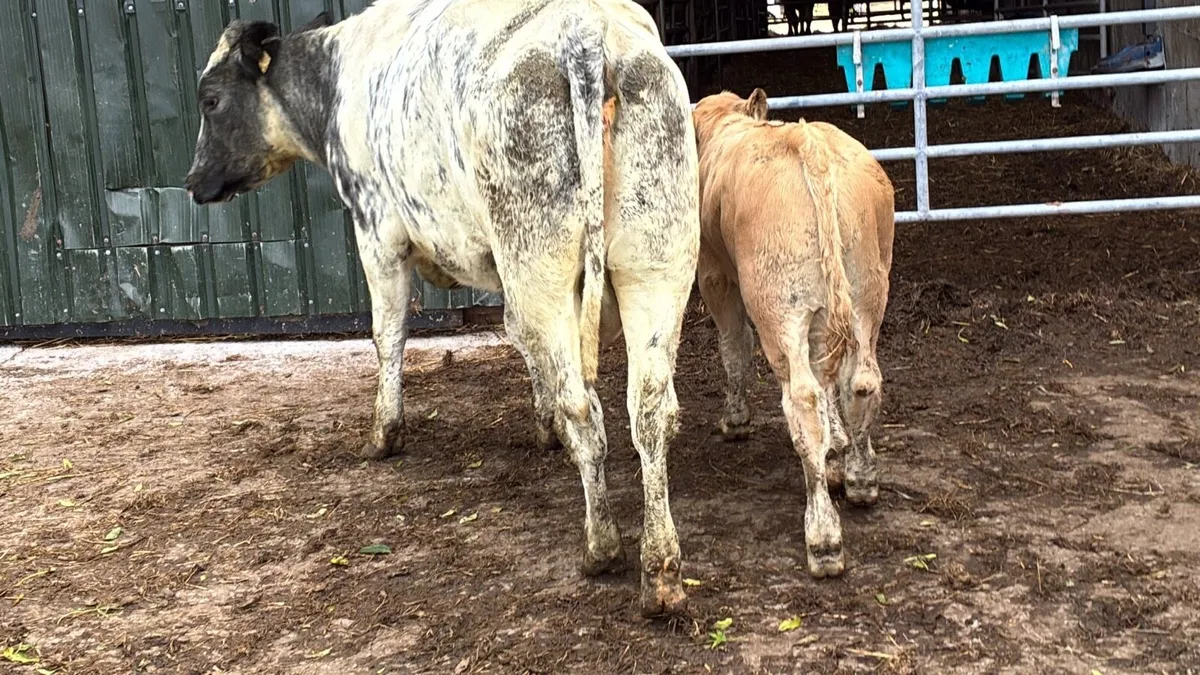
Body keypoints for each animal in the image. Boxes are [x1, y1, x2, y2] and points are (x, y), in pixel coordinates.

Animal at [183, 0, 700, 617]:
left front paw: (384, 433)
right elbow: (518, 339)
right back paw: (661, 571)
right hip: (656, 262)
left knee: (585, 407)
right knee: (651, 411)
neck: (339, 77)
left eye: (210, 99)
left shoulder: (377, 230)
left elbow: (387, 335)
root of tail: (584, 32)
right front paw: (542, 425)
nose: (192, 181)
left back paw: (601, 548)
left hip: (541, 263)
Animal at [691, 89, 894, 578]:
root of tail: (808, 143)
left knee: (801, 401)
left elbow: (733, 347)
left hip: (779, 312)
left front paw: (735, 419)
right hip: (865, 296)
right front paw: (838, 444)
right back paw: (861, 478)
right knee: (860, 383)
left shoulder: (715, 277)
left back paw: (823, 537)